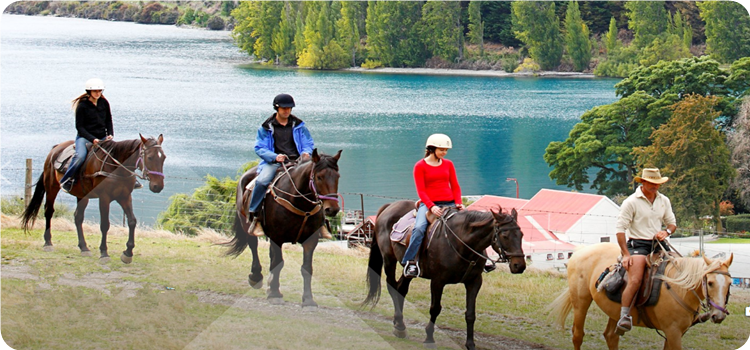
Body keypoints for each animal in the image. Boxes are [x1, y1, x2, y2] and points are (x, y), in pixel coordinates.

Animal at [20, 135, 166, 264]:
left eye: (163, 157)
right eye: (150, 157)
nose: (158, 186)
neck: (115, 168)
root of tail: (55, 149)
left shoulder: (125, 197)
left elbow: (132, 221)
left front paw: (128, 253)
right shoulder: (104, 198)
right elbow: (105, 225)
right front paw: (104, 253)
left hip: (82, 196)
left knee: (78, 218)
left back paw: (84, 248)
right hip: (52, 187)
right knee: (49, 211)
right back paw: (48, 243)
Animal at [223, 149, 340, 308]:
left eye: (337, 176)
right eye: (319, 177)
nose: (332, 209)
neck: (298, 201)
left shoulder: (311, 240)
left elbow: (306, 268)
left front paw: (308, 299)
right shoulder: (276, 237)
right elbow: (278, 263)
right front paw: (274, 294)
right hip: (247, 224)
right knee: (253, 245)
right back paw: (256, 277)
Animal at [364, 200, 528, 350]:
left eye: (521, 234)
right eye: (505, 235)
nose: (519, 265)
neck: (461, 242)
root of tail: (389, 207)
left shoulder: (474, 282)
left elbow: (470, 314)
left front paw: (470, 344)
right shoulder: (437, 281)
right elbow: (435, 309)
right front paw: (429, 339)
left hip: (407, 269)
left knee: (401, 289)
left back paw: (399, 324)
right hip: (389, 260)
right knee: (392, 287)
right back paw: (400, 327)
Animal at [548, 243, 736, 350]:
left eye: (730, 283)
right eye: (710, 283)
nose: (718, 315)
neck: (680, 287)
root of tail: (580, 251)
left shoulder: (675, 333)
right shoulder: (673, 332)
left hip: (614, 311)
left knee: (611, 336)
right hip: (581, 302)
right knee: (578, 335)